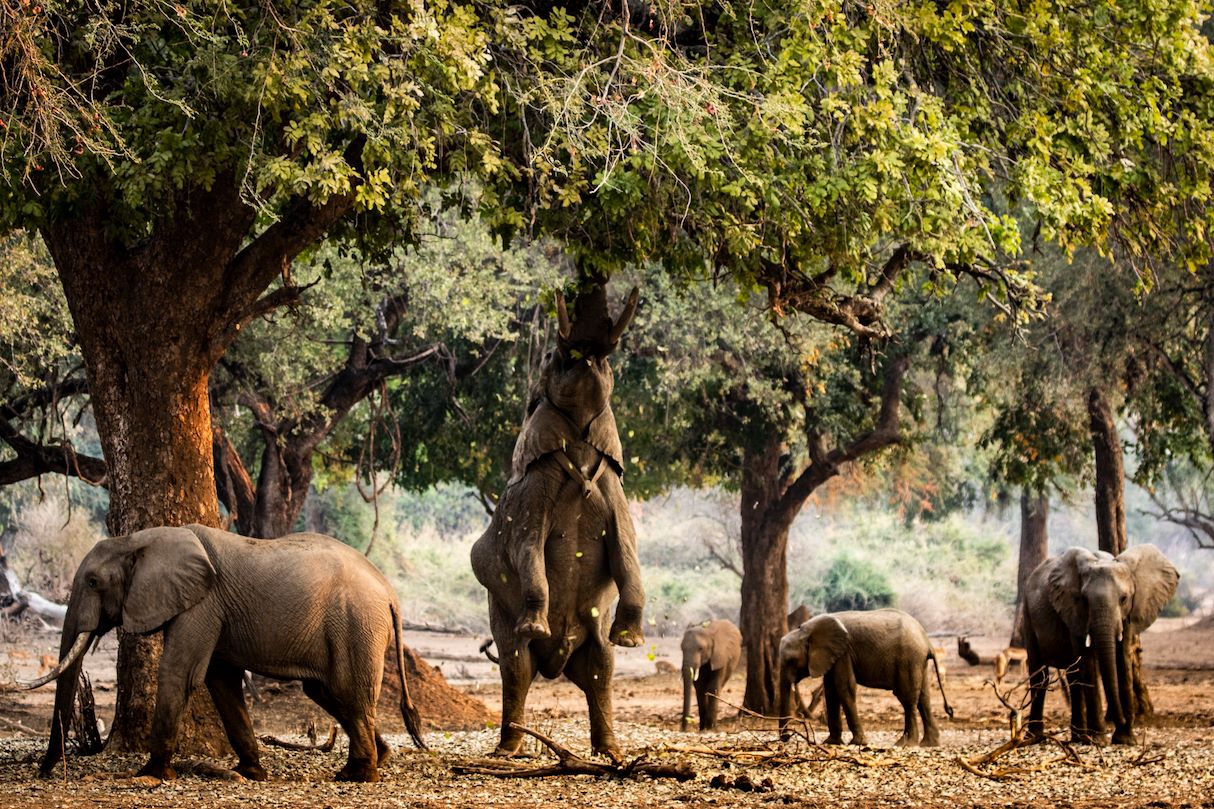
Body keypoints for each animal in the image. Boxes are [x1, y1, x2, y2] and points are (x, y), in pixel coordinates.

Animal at [20, 519, 427, 777]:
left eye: (92, 582)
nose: (46, 772)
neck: (140, 539)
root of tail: (389, 591)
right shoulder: (209, 609)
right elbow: (220, 681)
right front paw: (250, 772)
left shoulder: (203, 603)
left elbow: (180, 673)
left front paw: (149, 774)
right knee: (326, 692)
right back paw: (376, 759)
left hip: (356, 624)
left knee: (346, 690)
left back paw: (357, 775)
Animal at [471, 279, 650, 757]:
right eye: (554, 356)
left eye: (606, 361)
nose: (585, 351)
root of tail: (557, 665)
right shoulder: (531, 495)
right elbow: (526, 548)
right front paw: (536, 622)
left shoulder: (614, 489)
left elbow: (627, 550)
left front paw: (632, 637)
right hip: (501, 617)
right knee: (515, 666)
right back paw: (508, 750)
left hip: (592, 637)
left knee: (602, 669)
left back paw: (611, 752)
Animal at [772, 604, 951, 743]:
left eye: (791, 661)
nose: (787, 738)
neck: (807, 629)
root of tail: (927, 642)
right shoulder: (833, 656)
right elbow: (831, 691)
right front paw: (831, 742)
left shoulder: (844, 653)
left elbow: (844, 687)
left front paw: (858, 743)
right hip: (918, 662)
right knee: (924, 698)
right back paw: (929, 744)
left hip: (908, 659)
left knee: (907, 699)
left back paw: (905, 744)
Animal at [1019, 541, 1180, 743]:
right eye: (1084, 600)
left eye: (1124, 599)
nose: (1122, 722)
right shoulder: (1075, 612)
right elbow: (1088, 664)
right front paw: (1101, 740)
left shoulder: (1128, 616)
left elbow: (1122, 661)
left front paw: (1125, 740)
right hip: (1027, 612)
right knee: (1040, 673)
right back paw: (1035, 737)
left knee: (1073, 676)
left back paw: (1079, 737)